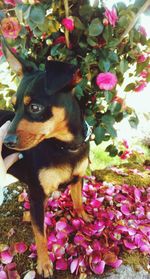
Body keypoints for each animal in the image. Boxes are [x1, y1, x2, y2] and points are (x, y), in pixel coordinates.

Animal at [0, 38, 91, 278]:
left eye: (35, 107)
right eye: (14, 108)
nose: (7, 141)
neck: (65, 146)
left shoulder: (78, 178)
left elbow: (78, 200)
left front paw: (84, 216)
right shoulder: (36, 195)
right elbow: (40, 233)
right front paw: (44, 263)